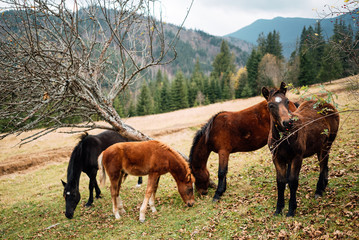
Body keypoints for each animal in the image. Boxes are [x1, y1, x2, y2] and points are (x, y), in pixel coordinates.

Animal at [262, 82, 340, 218]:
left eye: (287, 101)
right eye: (271, 105)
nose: (288, 122)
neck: (284, 138)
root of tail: (328, 105)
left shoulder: (297, 158)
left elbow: (293, 181)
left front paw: (291, 210)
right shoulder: (277, 159)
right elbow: (280, 182)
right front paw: (278, 209)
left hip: (327, 144)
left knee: (322, 165)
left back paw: (319, 190)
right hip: (320, 146)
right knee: (325, 164)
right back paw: (323, 186)